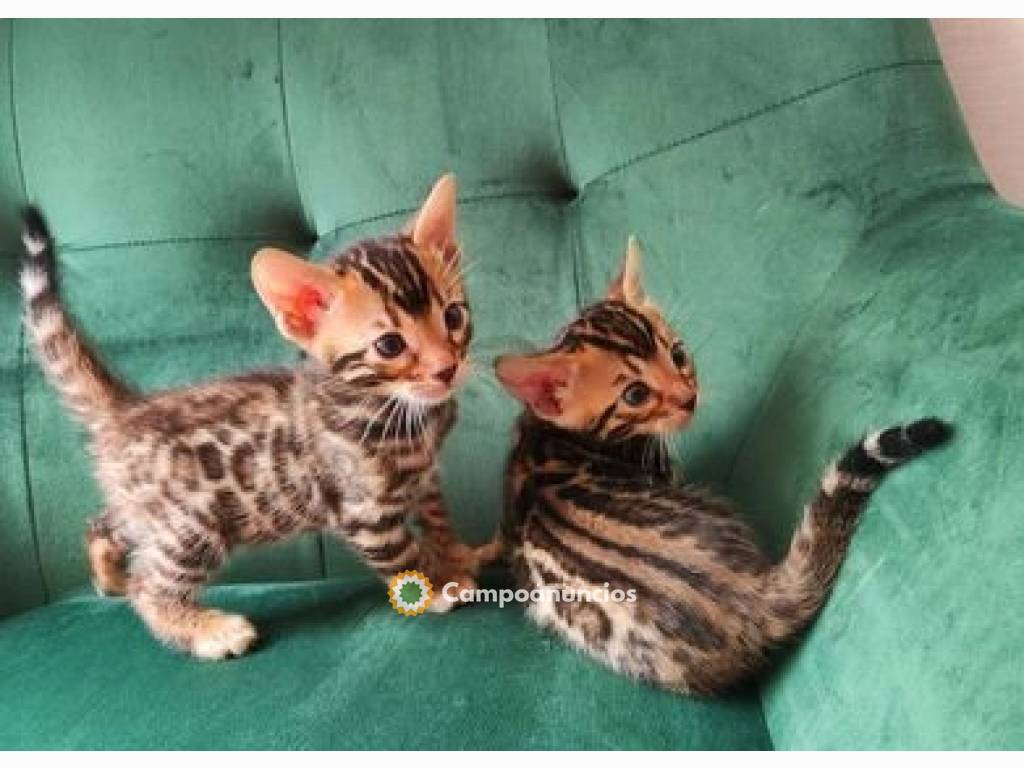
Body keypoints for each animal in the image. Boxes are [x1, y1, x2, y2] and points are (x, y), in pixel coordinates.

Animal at [23, 174, 499, 663]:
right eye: (389, 345)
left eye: (453, 316)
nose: (447, 369)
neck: (396, 410)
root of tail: (127, 408)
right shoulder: (364, 510)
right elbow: (401, 554)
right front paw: (434, 587)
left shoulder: (425, 478)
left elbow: (438, 520)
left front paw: (458, 557)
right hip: (191, 527)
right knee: (150, 587)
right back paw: (205, 629)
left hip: (148, 513)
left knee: (106, 525)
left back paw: (109, 576)